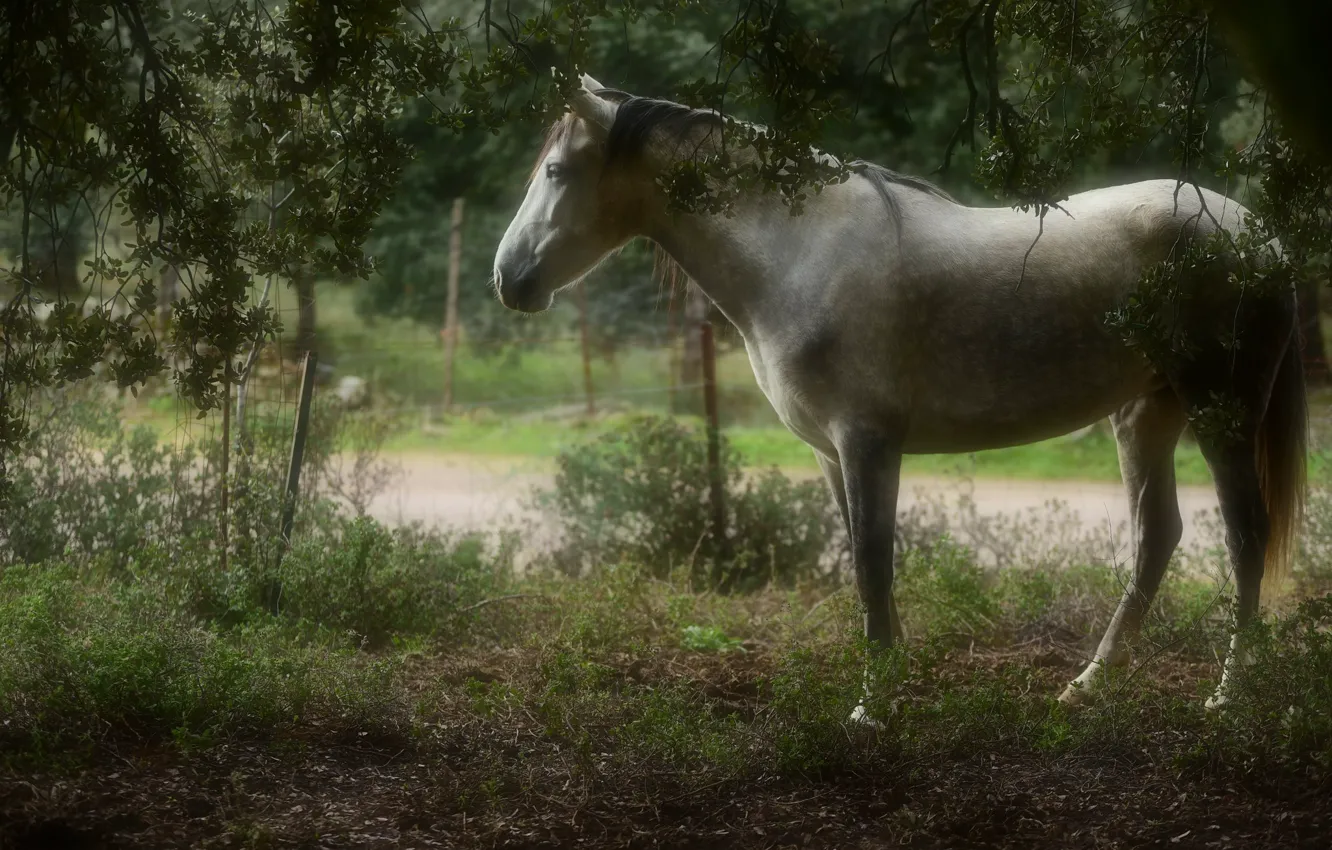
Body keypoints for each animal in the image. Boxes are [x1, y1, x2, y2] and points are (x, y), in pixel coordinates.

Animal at [492, 74, 1307, 717]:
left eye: (557, 170)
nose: (509, 278)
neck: (800, 253)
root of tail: (1259, 236)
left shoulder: (867, 443)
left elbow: (871, 563)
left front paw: (872, 706)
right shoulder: (832, 455)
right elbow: (866, 565)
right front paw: (895, 675)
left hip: (1221, 410)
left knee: (1245, 536)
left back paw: (1227, 695)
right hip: (1145, 414)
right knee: (1156, 537)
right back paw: (1088, 686)